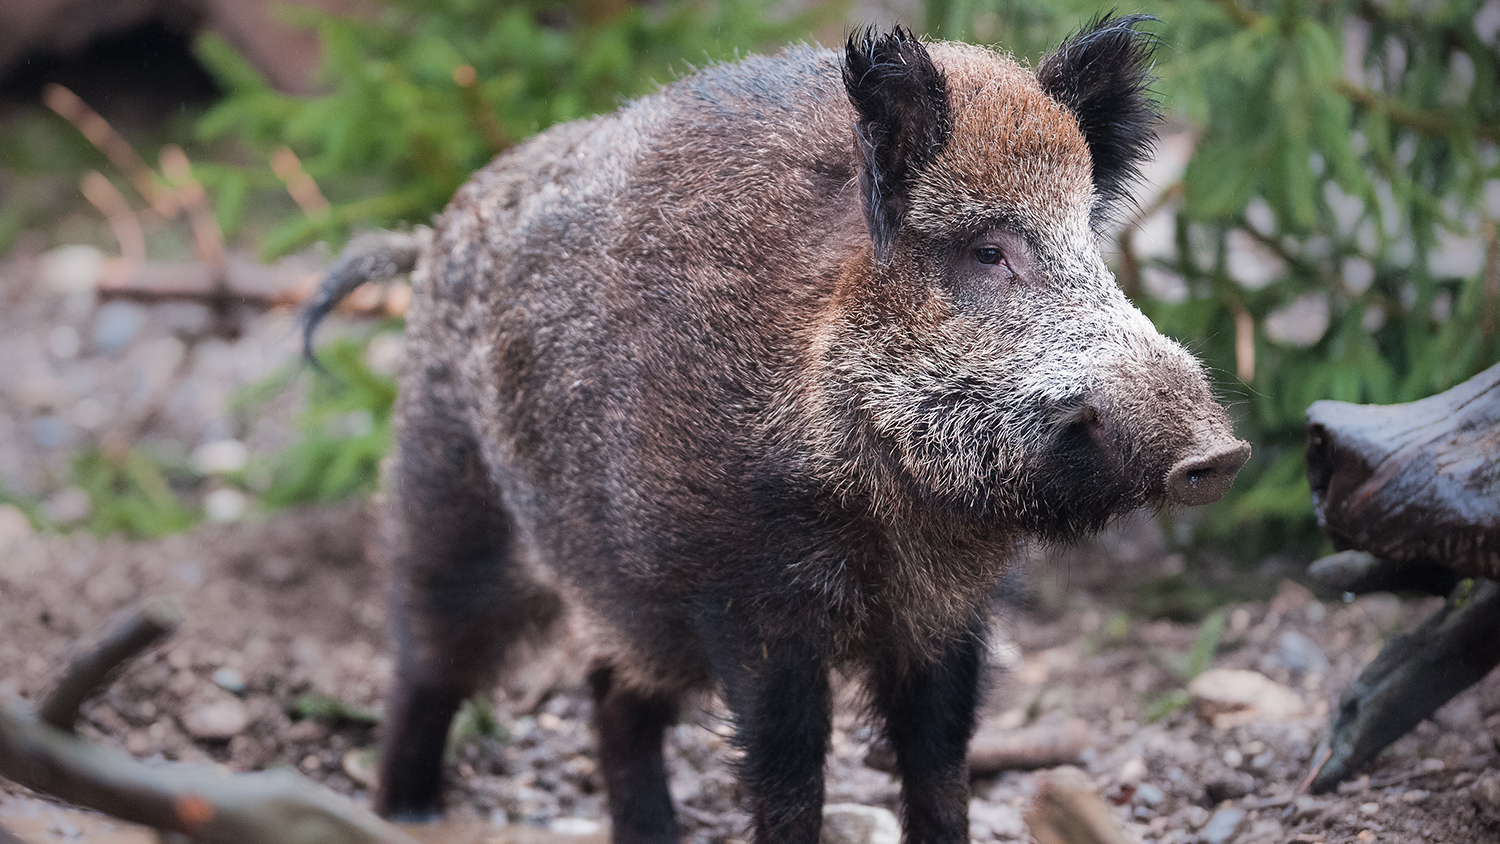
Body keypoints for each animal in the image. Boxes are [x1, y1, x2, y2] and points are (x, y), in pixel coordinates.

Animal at [303, 16, 1250, 844]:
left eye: (1089, 245)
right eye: (989, 251)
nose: (1222, 452)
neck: (891, 512)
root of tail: (428, 240)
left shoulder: (944, 613)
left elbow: (941, 761)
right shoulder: (749, 600)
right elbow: (792, 769)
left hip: (634, 602)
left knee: (611, 691)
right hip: (449, 495)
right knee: (427, 663)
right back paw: (405, 812)